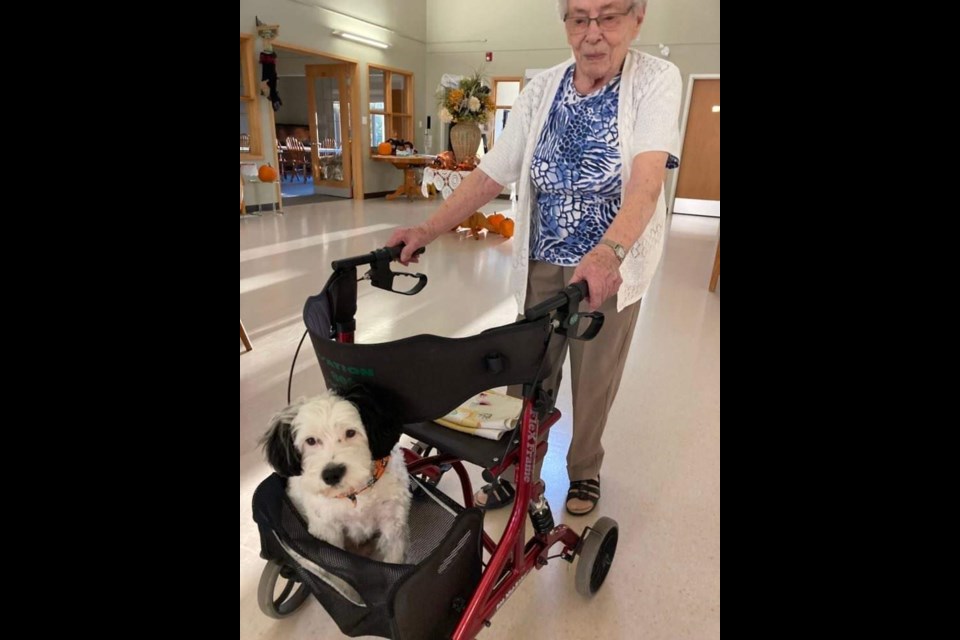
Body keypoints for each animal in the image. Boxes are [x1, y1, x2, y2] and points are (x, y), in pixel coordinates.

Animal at [264, 384, 410, 560]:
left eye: (350, 432)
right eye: (311, 440)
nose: (332, 475)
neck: (354, 493)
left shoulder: (392, 522)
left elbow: (394, 557)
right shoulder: (327, 530)